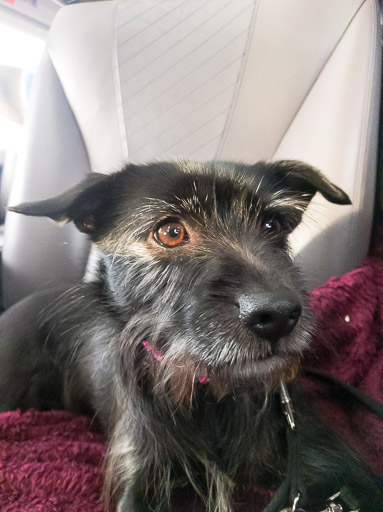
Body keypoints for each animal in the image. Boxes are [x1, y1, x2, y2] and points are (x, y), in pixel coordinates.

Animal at [0, 158, 382, 510]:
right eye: (170, 232)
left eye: (272, 225)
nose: (277, 316)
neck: (210, 394)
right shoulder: (140, 468)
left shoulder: (321, 459)